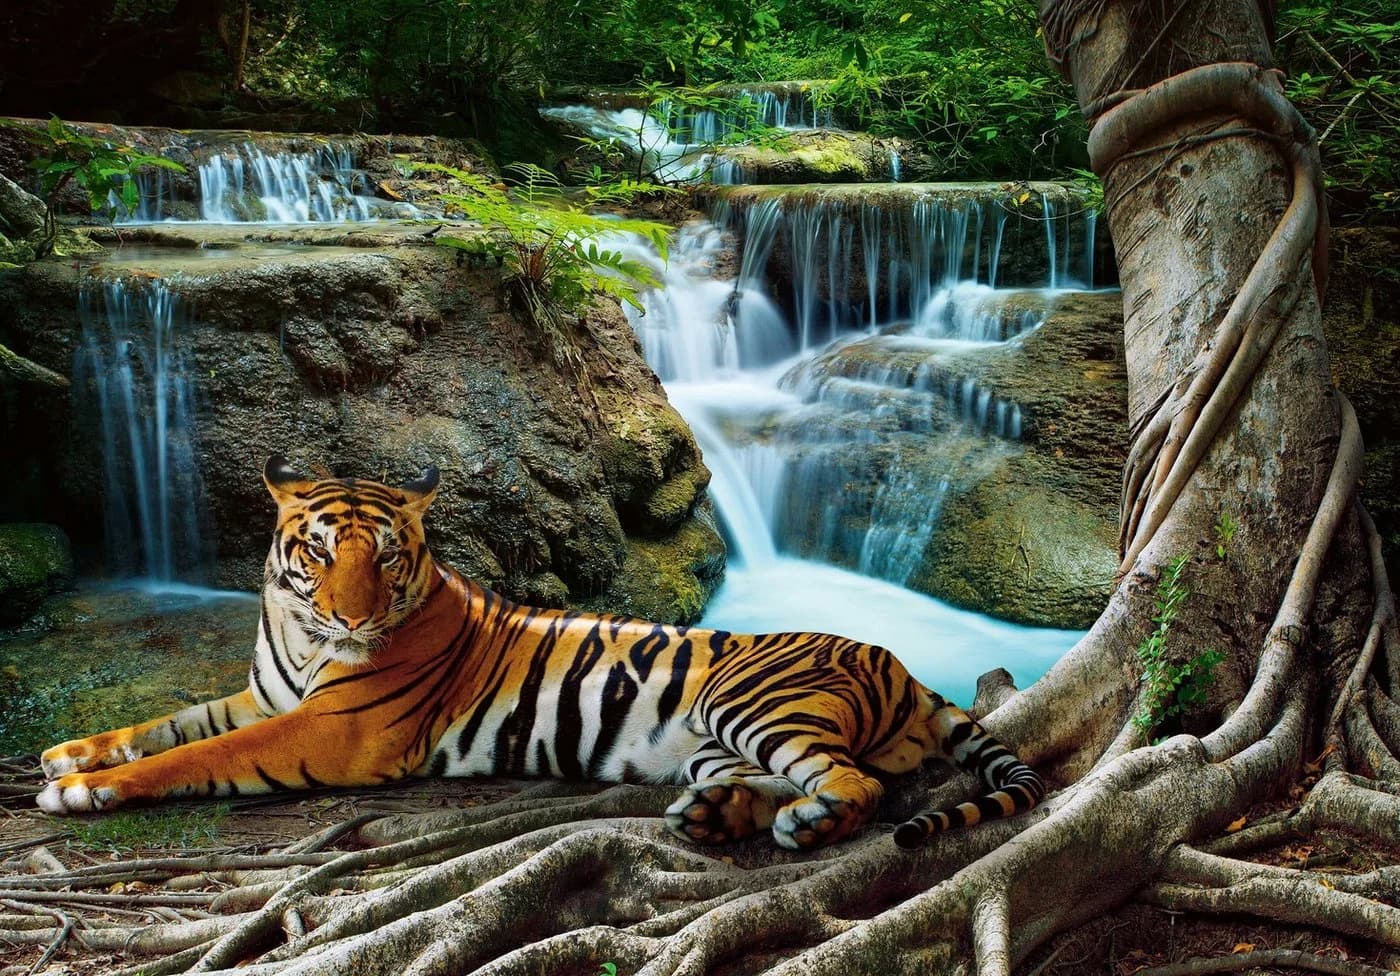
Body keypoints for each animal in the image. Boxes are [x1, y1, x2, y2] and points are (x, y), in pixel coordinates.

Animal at [38, 456, 1045, 850]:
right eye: (318, 553)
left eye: (387, 556)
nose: (353, 617)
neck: (296, 631)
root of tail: (902, 666)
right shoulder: (267, 697)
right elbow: (171, 722)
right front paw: (70, 754)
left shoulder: (329, 731)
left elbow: (198, 754)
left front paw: (86, 789)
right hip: (716, 740)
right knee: (779, 781)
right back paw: (714, 816)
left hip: (752, 703)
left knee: (856, 785)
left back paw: (803, 823)